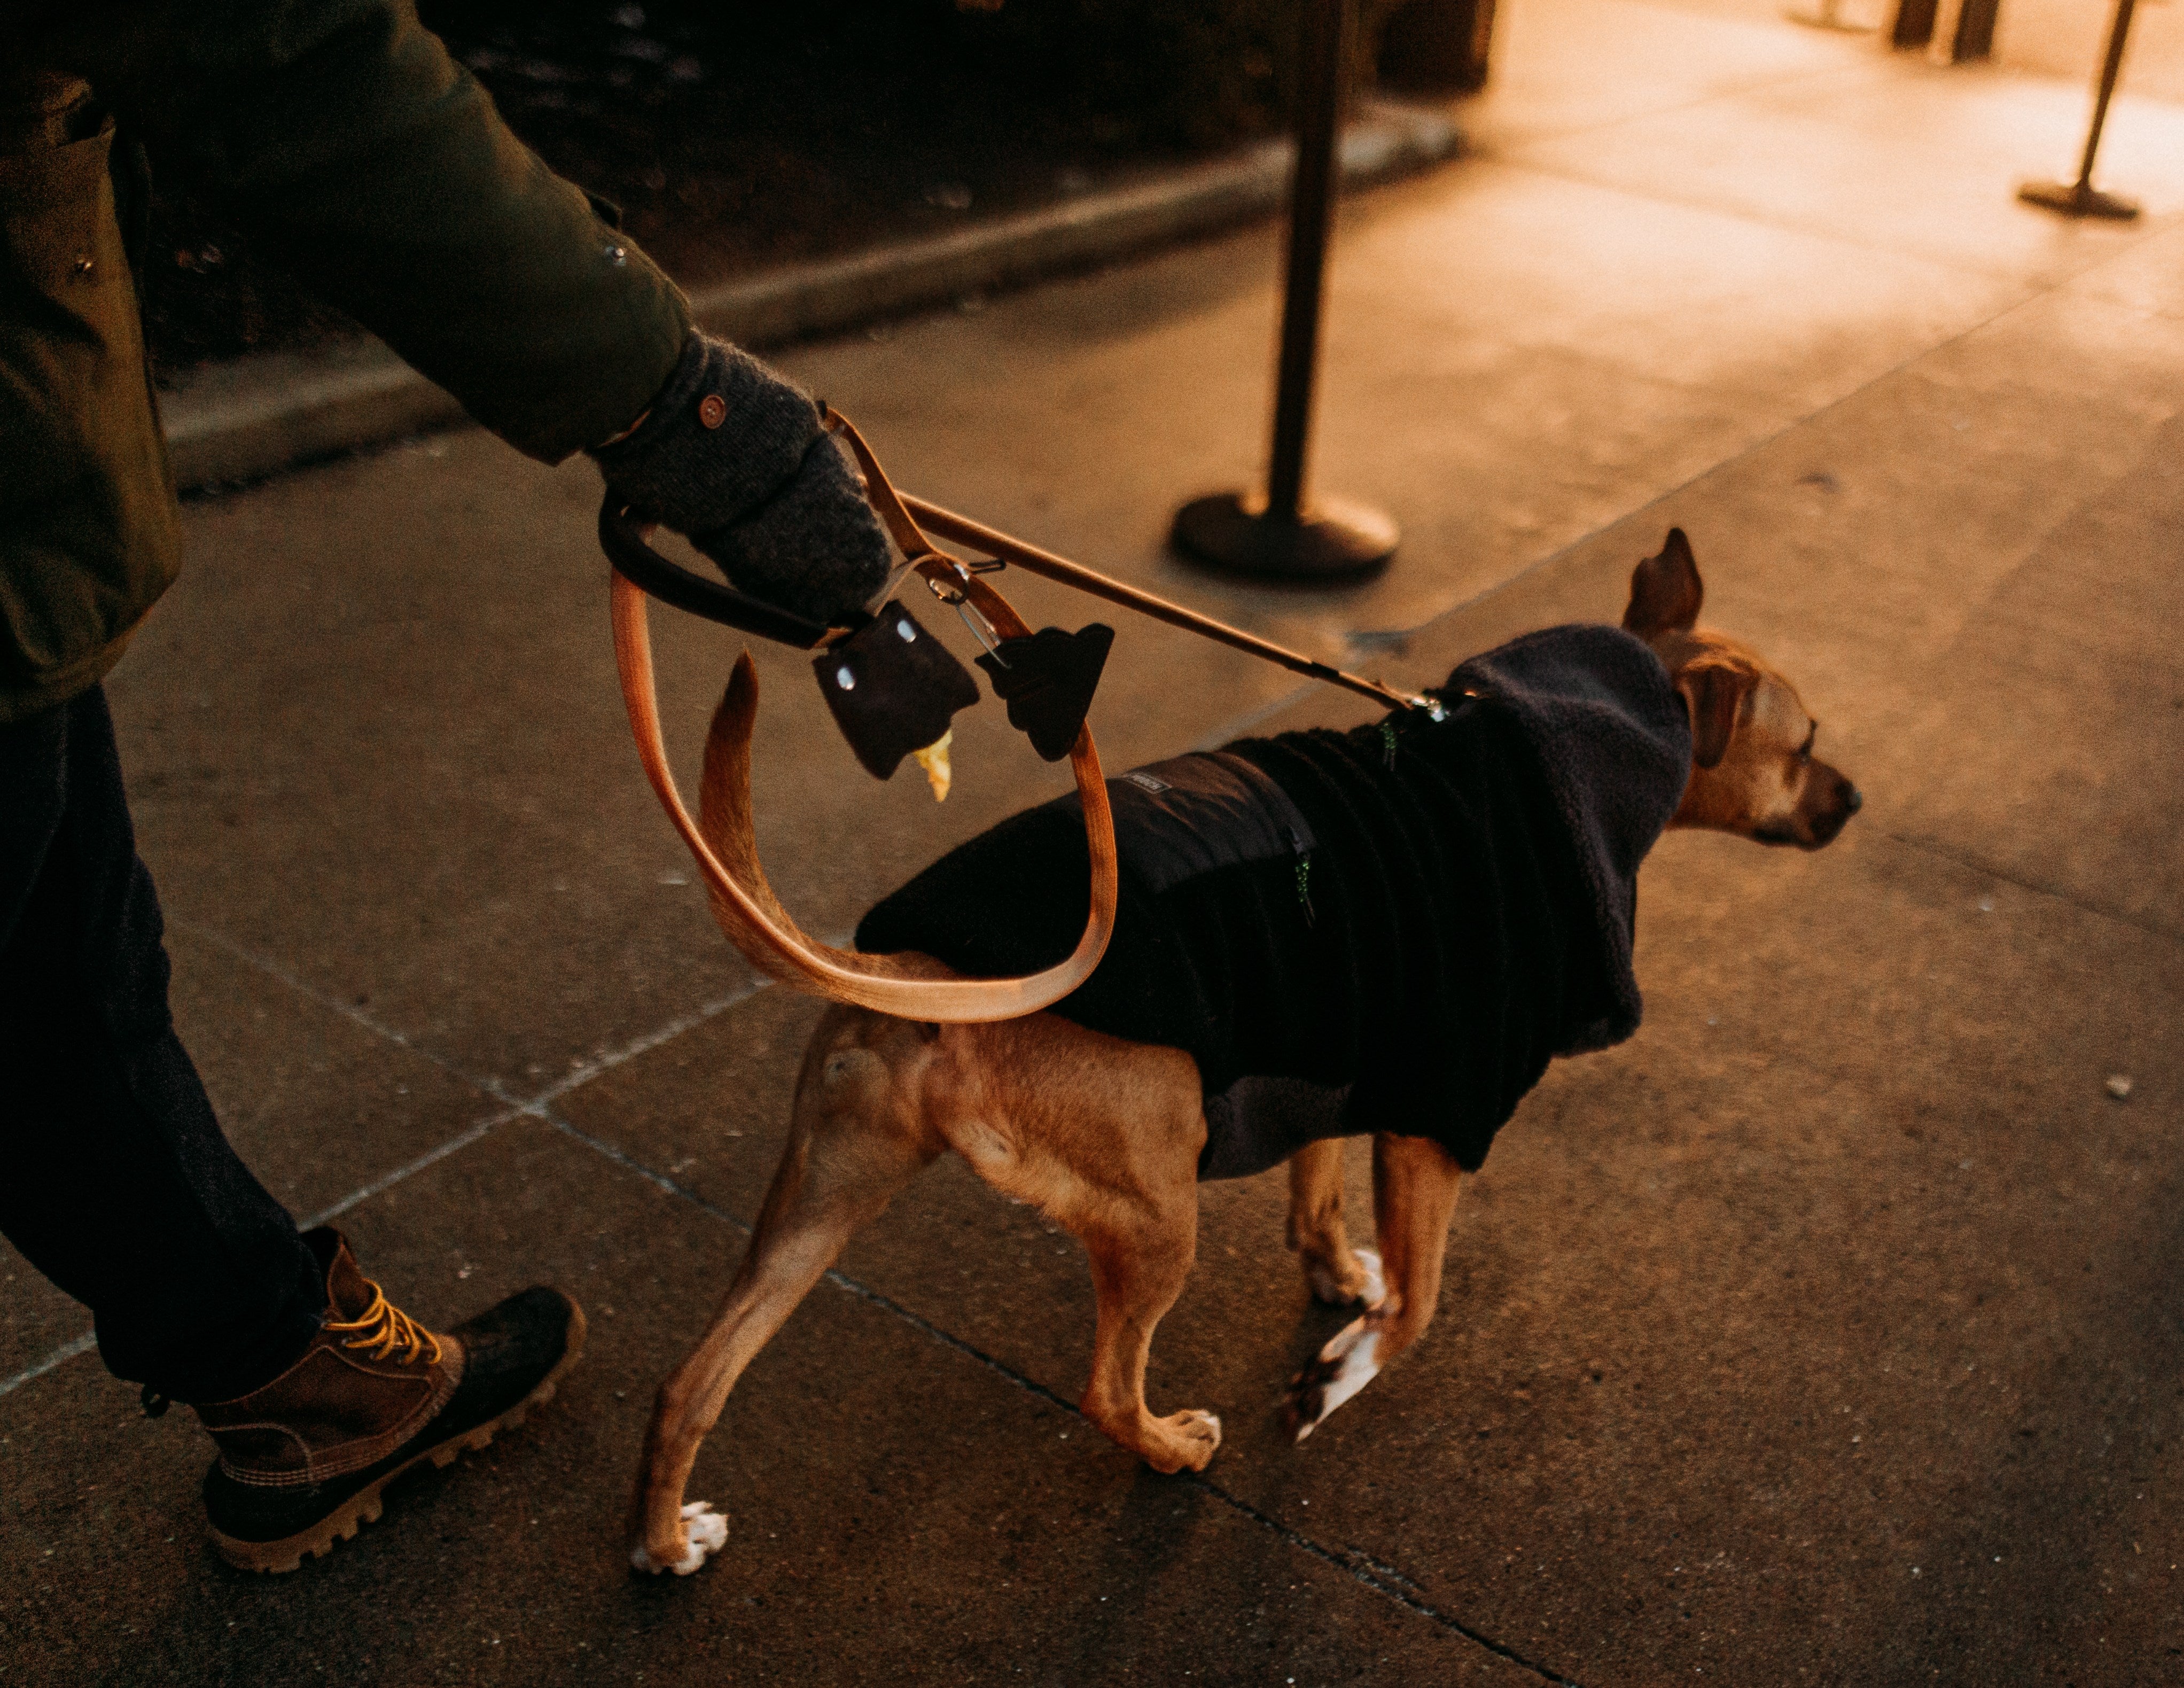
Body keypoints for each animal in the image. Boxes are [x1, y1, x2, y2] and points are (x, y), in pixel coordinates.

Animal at [625, 526, 1852, 1563]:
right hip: (1154, 1212)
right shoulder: (1439, 1115)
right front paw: (1334, 1375)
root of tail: (935, 973)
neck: (1539, 753)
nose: (1851, 799)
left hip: (820, 1198)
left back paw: (664, 1541)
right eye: (1803, 744)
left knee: (689, 1379)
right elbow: (1418, 1305)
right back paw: (1171, 1447)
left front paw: (1333, 1276)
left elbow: (1319, 1191)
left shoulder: (1336, 1052)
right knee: (1106, 1387)